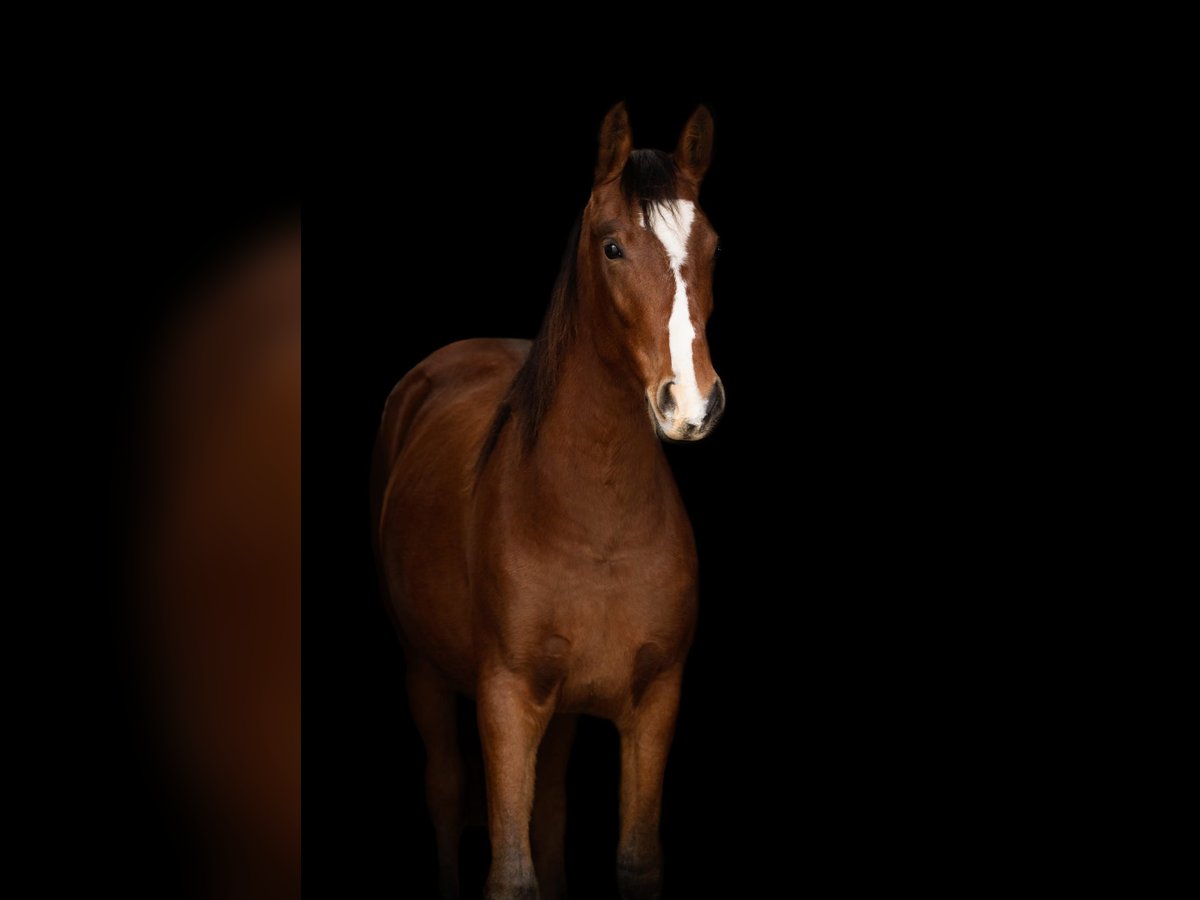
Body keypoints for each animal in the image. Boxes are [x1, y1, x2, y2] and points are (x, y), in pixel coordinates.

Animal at [372, 102, 724, 900]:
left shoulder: (656, 701)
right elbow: (511, 871)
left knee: (553, 809)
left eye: (712, 246)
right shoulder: (506, 701)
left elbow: (634, 857)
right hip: (423, 670)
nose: (691, 402)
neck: (595, 529)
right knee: (445, 792)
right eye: (613, 246)